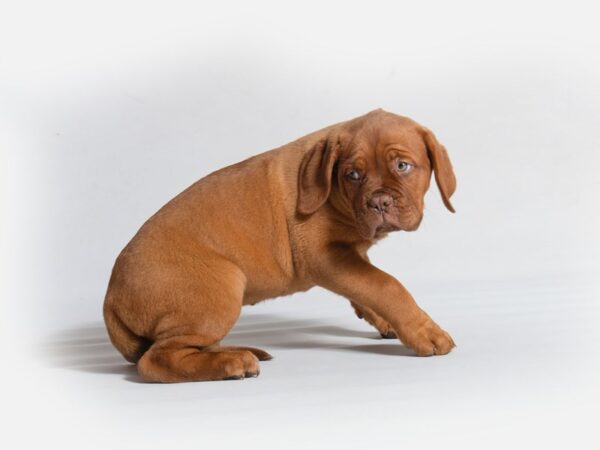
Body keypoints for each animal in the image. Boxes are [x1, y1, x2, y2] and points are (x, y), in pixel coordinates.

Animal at [104, 108, 460, 380]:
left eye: (402, 166)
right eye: (353, 175)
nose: (379, 203)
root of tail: (111, 299)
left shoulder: (349, 256)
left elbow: (369, 284)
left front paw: (386, 321)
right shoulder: (324, 257)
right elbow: (386, 285)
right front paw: (424, 331)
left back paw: (236, 351)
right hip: (221, 288)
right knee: (156, 359)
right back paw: (231, 362)